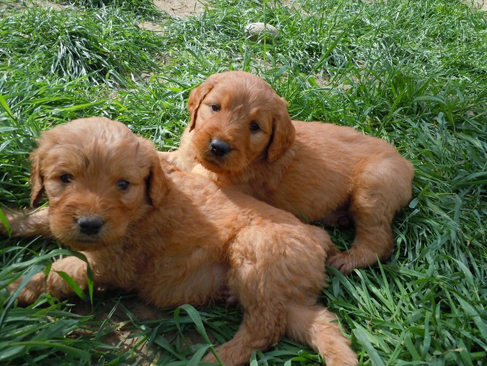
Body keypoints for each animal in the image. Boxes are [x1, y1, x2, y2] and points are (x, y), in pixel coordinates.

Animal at [1, 117, 356, 366]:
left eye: (123, 184)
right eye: (65, 178)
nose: (89, 224)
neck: (145, 206)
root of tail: (320, 239)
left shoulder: (113, 264)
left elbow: (57, 272)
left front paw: (14, 288)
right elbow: (41, 217)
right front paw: (8, 221)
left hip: (256, 254)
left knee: (264, 328)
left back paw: (216, 358)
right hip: (288, 294)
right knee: (317, 323)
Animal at [161, 71, 416, 274]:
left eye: (254, 126)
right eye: (215, 107)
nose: (218, 146)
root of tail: (407, 163)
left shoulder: (219, 188)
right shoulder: (184, 156)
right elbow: (165, 156)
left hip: (373, 188)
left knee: (379, 241)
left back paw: (348, 259)